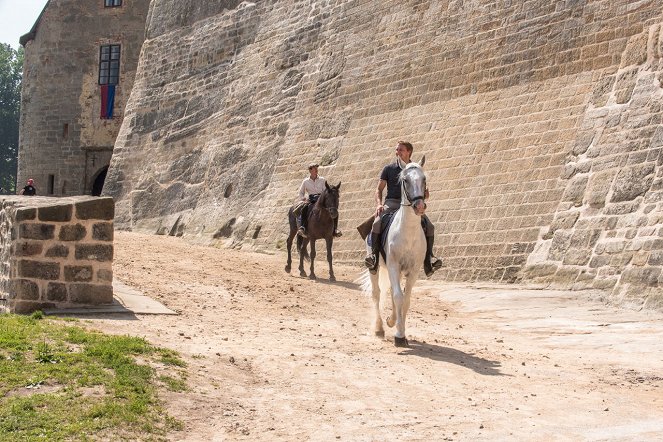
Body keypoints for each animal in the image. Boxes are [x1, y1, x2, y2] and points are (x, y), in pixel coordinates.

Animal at [360, 157, 428, 348]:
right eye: (405, 180)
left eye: (424, 179)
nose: (419, 206)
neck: (408, 232)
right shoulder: (393, 265)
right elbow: (398, 296)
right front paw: (399, 334)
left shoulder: (413, 270)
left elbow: (406, 300)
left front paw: (400, 329)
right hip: (375, 267)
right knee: (377, 293)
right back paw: (379, 328)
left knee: (391, 291)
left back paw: (391, 320)